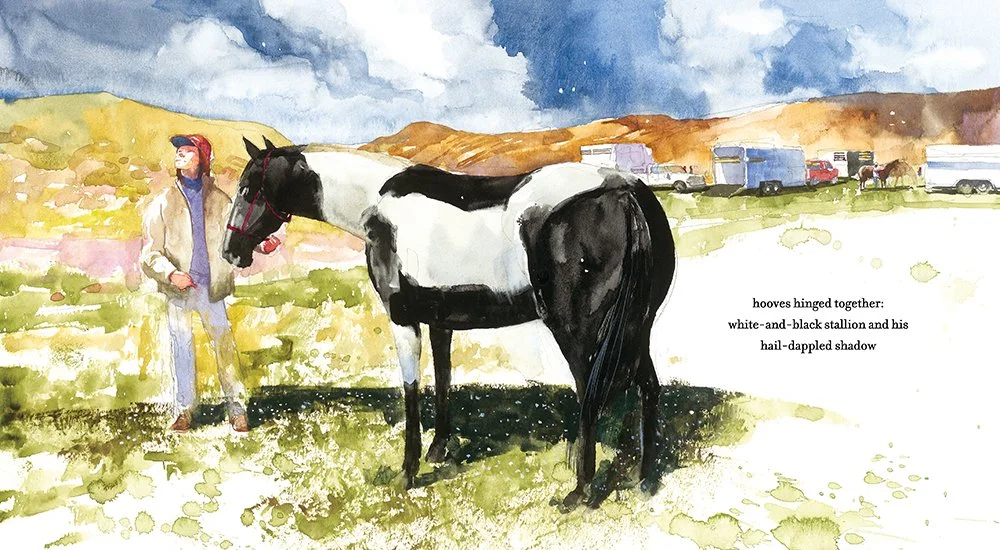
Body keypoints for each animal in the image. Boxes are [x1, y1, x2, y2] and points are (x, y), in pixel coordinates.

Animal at [221, 137, 676, 508]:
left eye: (248, 189)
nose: (229, 251)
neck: (375, 205)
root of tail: (623, 192)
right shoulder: (440, 319)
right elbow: (443, 375)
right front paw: (439, 449)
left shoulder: (403, 319)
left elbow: (411, 388)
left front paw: (408, 471)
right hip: (636, 326)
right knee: (647, 387)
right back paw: (644, 478)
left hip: (579, 331)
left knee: (590, 396)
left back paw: (580, 491)